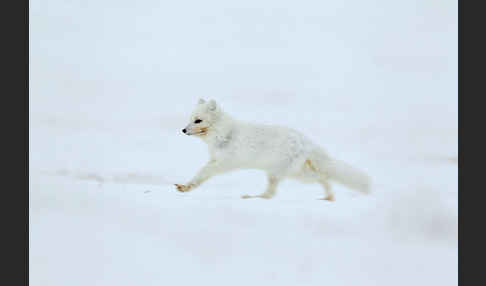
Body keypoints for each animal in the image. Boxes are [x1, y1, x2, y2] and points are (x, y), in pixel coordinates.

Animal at [177, 99, 370, 201]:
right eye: (190, 119)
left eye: (198, 120)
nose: (183, 130)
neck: (225, 134)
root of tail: (306, 141)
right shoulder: (215, 159)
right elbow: (201, 174)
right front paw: (187, 186)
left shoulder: (225, 162)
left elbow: (204, 172)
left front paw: (186, 187)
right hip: (280, 173)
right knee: (271, 193)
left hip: (292, 173)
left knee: (323, 177)